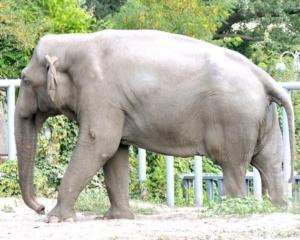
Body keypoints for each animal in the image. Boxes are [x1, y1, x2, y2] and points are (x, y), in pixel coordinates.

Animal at [15, 30, 294, 223]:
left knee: (233, 165)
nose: (40, 206)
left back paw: (230, 210)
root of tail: (263, 76)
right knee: (270, 162)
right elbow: (115, 153)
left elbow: (99, 144)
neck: (74, 43)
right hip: (263, 117)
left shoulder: (100, 96)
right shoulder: (113, 105)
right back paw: (277, 207)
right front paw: (117, 218)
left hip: (235, 119)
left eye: (25, 80)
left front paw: (54, 219)